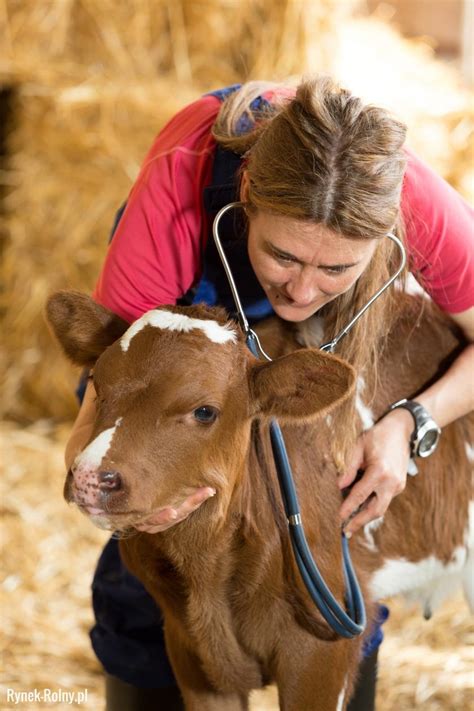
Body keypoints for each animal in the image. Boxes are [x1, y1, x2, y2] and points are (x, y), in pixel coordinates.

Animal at [46, 290, 472, 711]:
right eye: (97, 383)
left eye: (205, 411)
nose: (90, 477)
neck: (209, 576)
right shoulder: (190, 651)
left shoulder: (323, 652)